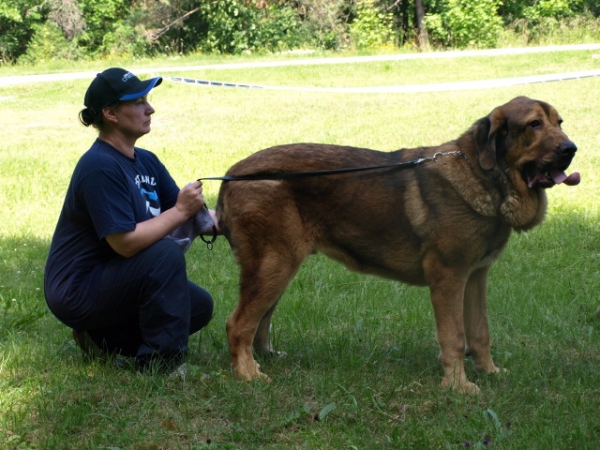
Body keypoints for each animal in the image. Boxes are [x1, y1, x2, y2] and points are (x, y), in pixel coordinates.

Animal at [216, 96, 576, 394]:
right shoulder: (449, 277)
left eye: (559, 122)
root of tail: (232, 175)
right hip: (275, 264)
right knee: (238, 324)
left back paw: (262, 360)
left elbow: (479, 332)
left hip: (278, 268)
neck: (486, 176)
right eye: (534, 124)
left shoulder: (476, 276)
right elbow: (454, 336)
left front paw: (489, 372)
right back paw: (248, 375)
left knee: (259, 321)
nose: (571, 149)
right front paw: (458, 386)